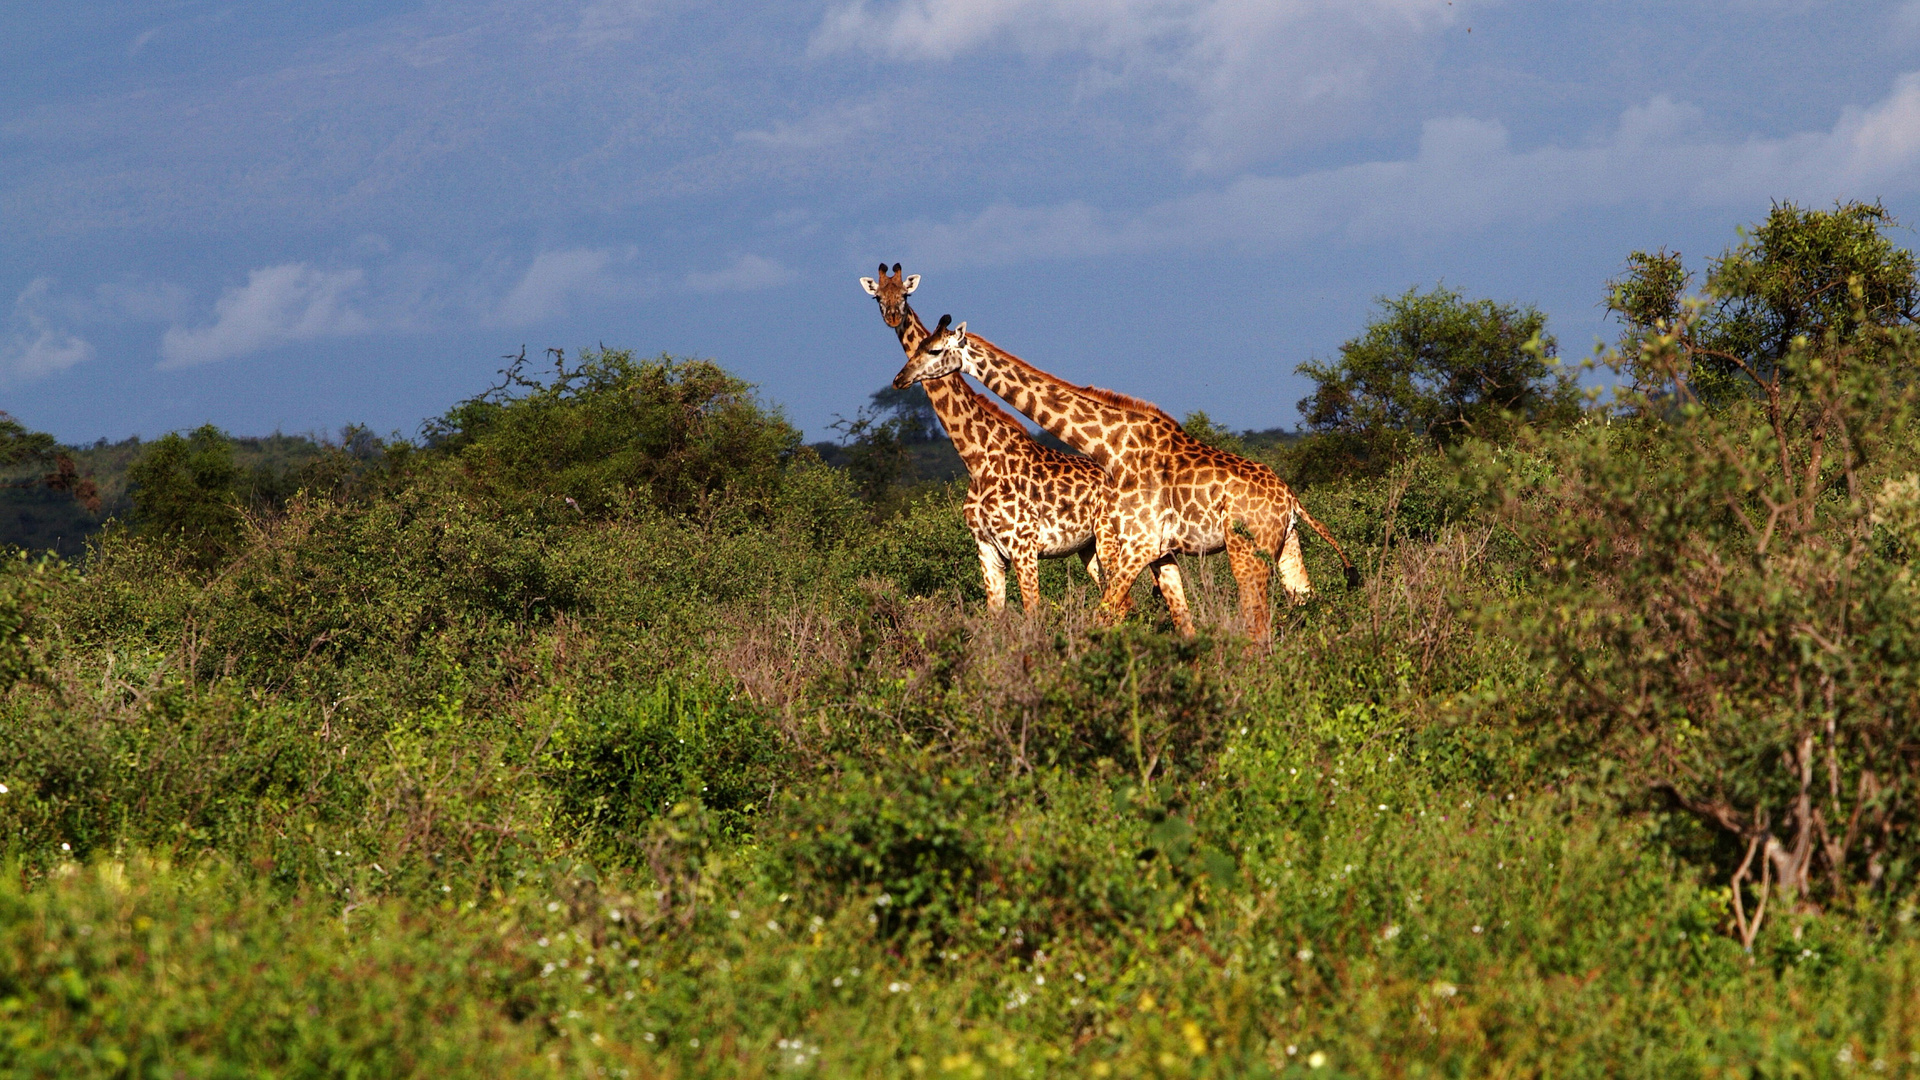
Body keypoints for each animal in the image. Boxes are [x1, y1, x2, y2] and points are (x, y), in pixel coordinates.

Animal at [864, 263, 1121, 611]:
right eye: (878, 297)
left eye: (904, 294)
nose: (899, 379)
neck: (976, 458)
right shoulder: (987, 549)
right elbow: (994, 613)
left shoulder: (1023, 546)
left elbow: (1031, 611)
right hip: (1088, 547)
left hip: (1110, 538)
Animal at [890, 315, 1359, 641]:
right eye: (919, 347)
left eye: (935, 351)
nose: (899, 379)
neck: (1108, 446)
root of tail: (1291, 498)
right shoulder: (1158, 553)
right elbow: (1181, 622)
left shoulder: (1136, 545)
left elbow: (1105, 614)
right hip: (1287, 547)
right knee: (1307, 604)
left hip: (1246, 551)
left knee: (1257, 623)